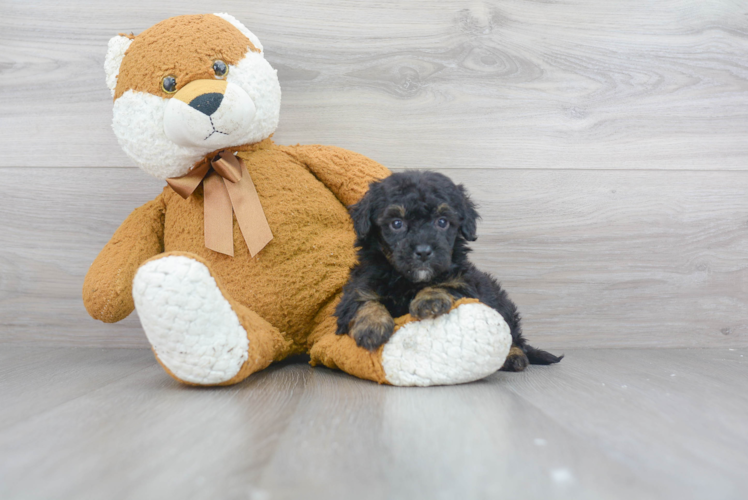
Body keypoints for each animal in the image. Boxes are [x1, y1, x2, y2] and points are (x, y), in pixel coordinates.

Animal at [336, 172, 564, 372]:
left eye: (442, 222)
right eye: (396, 224)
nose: (424, 251)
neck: (408, 281)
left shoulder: (466, 283)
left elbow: (446, 285)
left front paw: (430, 299)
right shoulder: (358, 285)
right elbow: (362, 300)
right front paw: (372, 326)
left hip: (502, 303)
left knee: (512, 335)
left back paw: (514, 356)